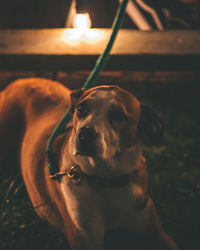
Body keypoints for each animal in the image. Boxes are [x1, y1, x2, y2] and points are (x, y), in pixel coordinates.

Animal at [0, 78, 178, 250]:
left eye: (118, 115)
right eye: (81, 108)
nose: (84, 135)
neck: (108, 180)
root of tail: (21, 80)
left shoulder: (157, 232)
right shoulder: (85, 237)